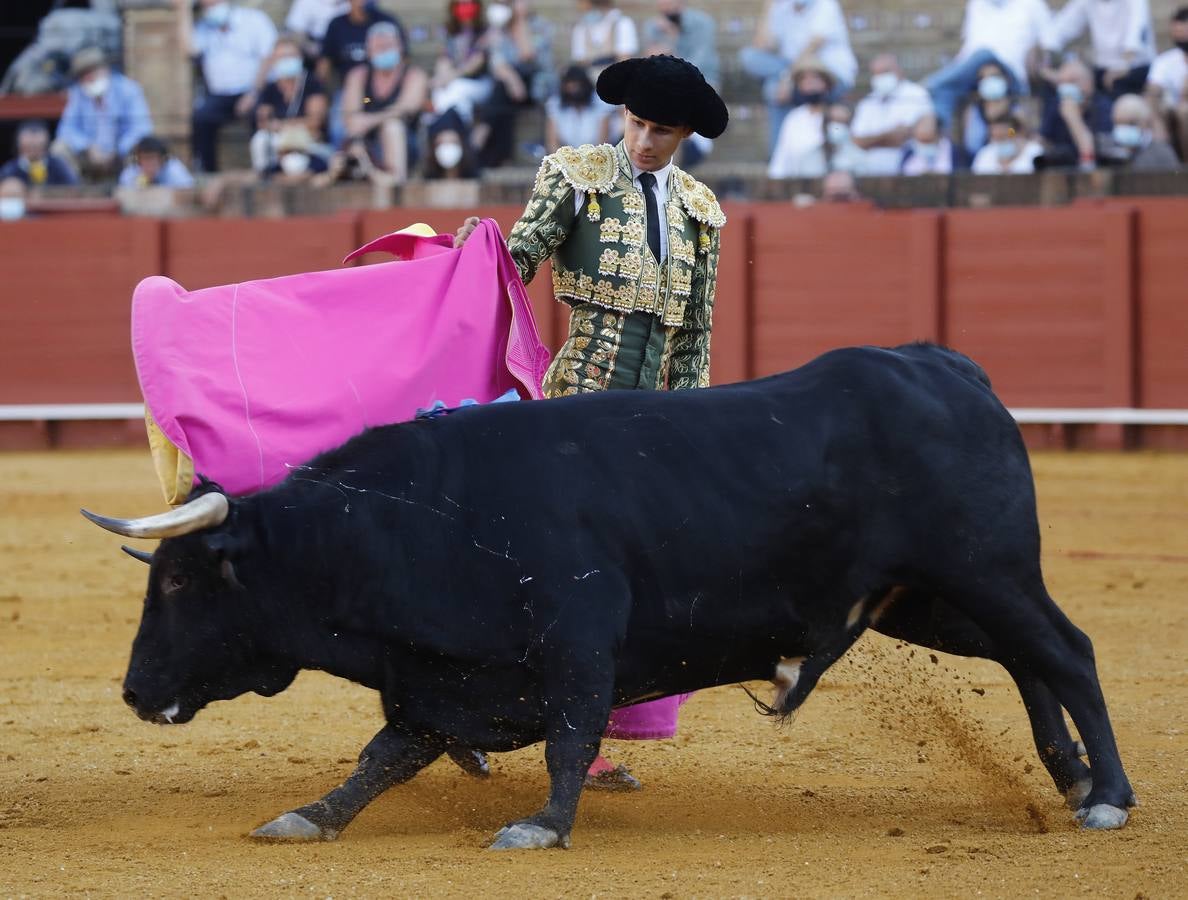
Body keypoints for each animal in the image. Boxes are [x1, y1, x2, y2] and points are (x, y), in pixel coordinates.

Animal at [79, 341, 1135, 850]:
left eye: (183, 579)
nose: (135, 691)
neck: (425, 514)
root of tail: (947, 368)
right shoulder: (441, 677)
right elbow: (385, 756)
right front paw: (309, 817)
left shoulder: (577, 635)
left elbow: (573, 734)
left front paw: (542, 827)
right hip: (926, 598)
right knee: (1025, 657)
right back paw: (1071, 778)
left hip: (985, 569)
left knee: (1068, 651)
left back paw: (1110, 798)